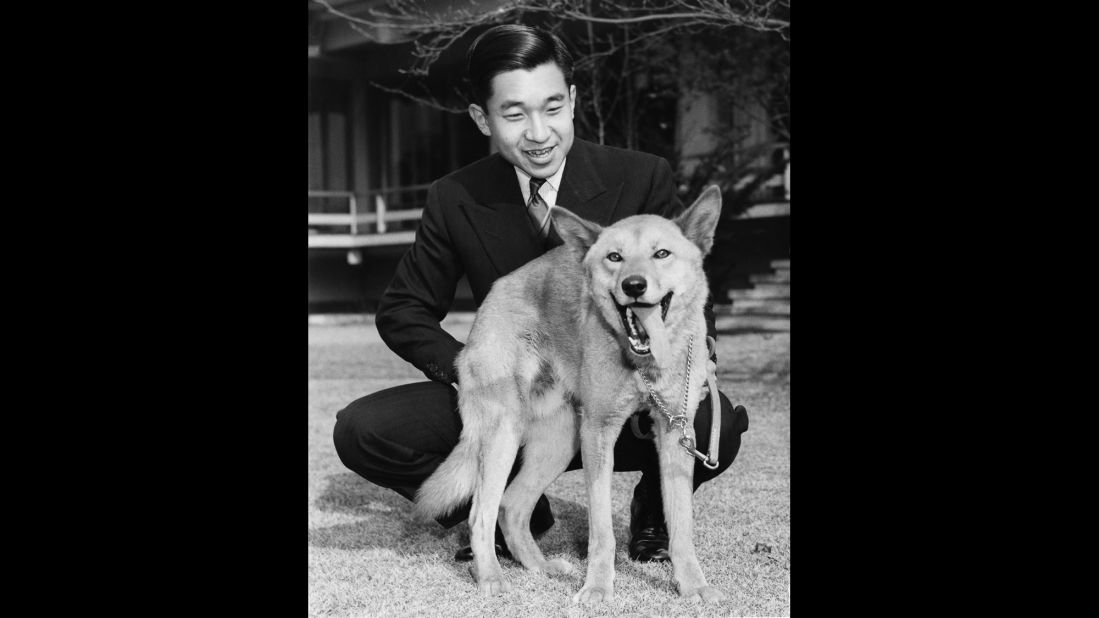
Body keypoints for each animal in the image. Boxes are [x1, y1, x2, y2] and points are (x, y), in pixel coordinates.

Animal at [415, 183, 725, 602]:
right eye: (615, 257)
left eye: (662, 254)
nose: (634, 286)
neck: (641, 364)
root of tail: (492, 297)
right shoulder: (598, 433)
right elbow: (602, 531)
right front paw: (597, 587)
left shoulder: (676, 433)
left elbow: (681, 525)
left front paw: (694, 585)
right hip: (504, 434)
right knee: (481, 511)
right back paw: (491, 576)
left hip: (559, 442)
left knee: (511, 506)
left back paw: (540, 567)